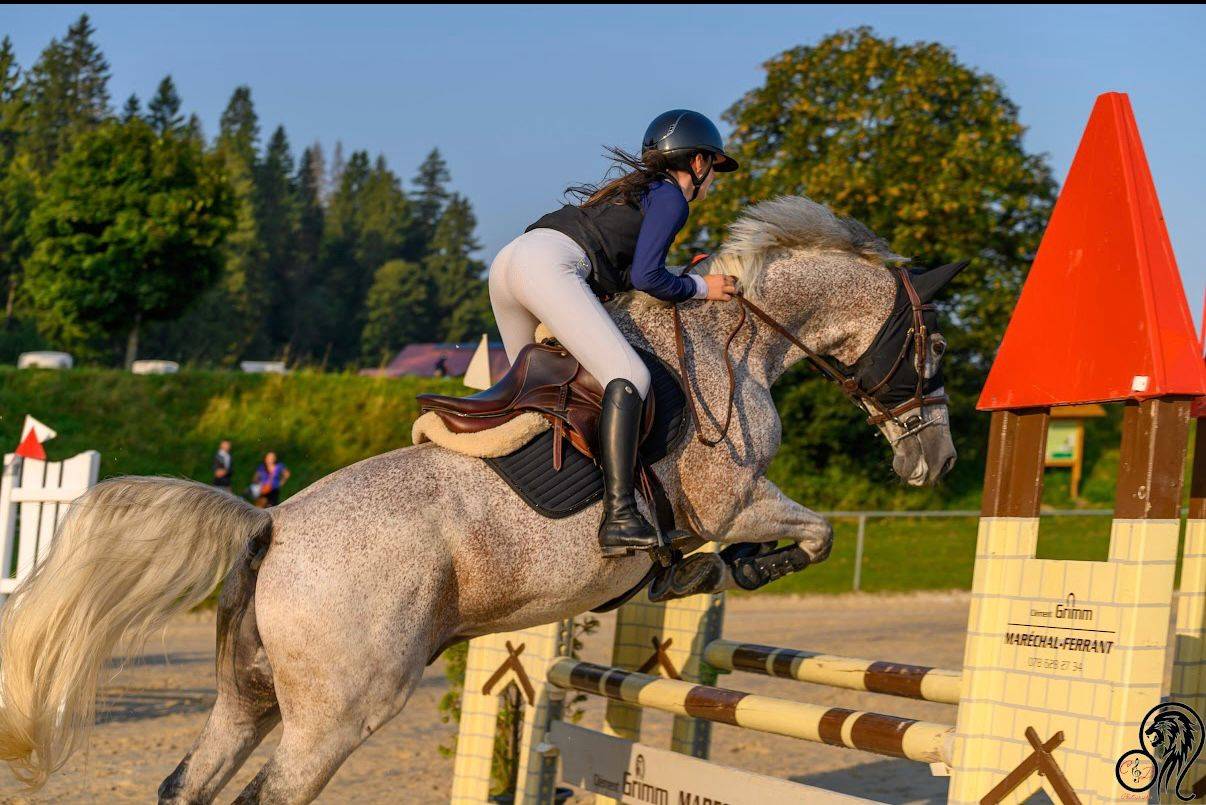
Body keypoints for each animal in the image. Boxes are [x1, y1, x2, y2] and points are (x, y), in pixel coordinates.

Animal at [0, 196, 964, 803]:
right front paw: (742, 567)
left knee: (187, 782)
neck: (739, 341)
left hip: (249, 696)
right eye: (937, 347)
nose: (937, 460)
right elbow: (815, 531)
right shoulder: (734, 500)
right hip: (340, 710)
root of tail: (268, 522)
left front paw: (696, 577)